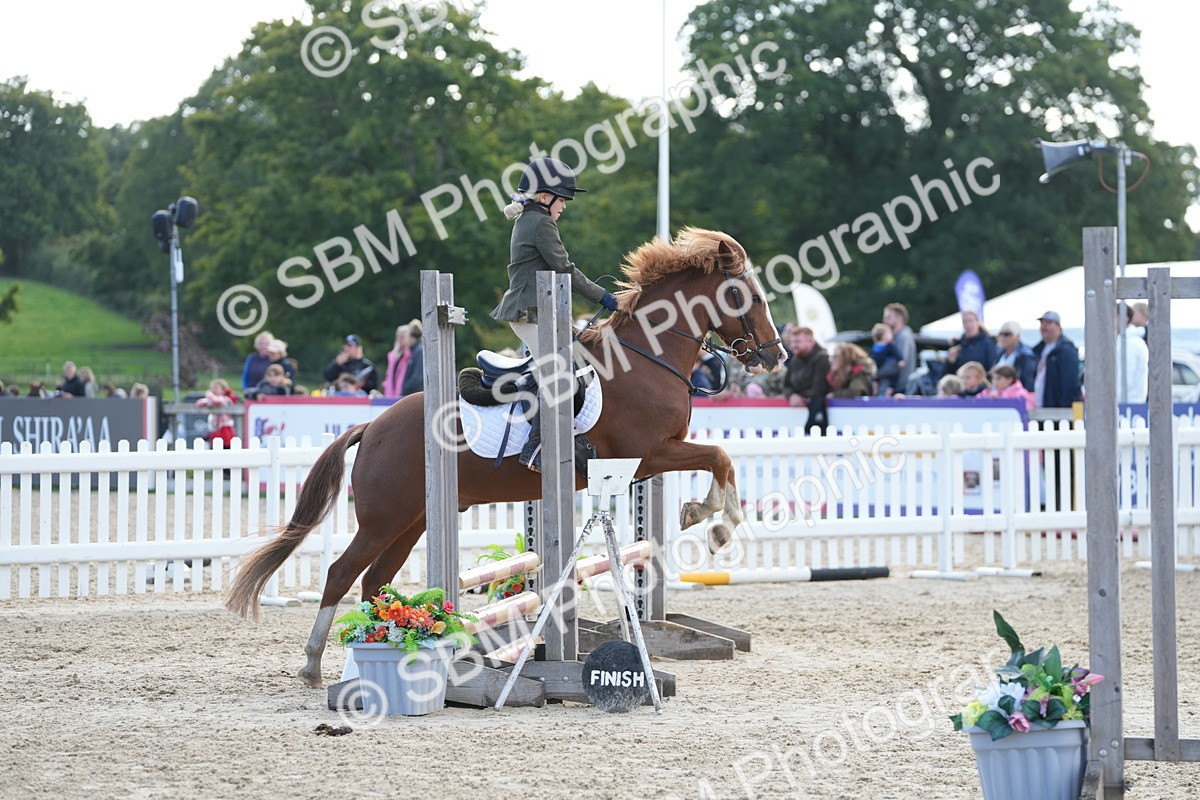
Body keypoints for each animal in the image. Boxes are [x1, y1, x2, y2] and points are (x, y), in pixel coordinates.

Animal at [225, 227, 788, 687]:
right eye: (750, 295)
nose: (775, 355)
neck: (648, 356)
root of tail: (374, 425)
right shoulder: (649, 455)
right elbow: (720, 457)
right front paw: (715, 525)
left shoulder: (650, 459)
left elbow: (718, 458)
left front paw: (702, 516)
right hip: (383, 518)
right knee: (342, 574)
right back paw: (314, 663)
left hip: (411, 521)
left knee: (374, 582)